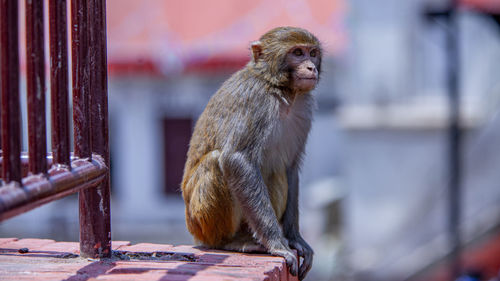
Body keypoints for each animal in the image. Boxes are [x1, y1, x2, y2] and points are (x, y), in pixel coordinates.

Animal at [182, 25, 322, 278]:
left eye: (313, 53)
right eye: (297, 53)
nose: (311, 67)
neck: (281, 89)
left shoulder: (304, 109)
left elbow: (290, 168)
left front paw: (295, 239)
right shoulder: (256, 100)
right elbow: (238, 159)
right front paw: (277, 243)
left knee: (276, 171)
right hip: (198, 223)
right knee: (215, 162)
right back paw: (229, 242)